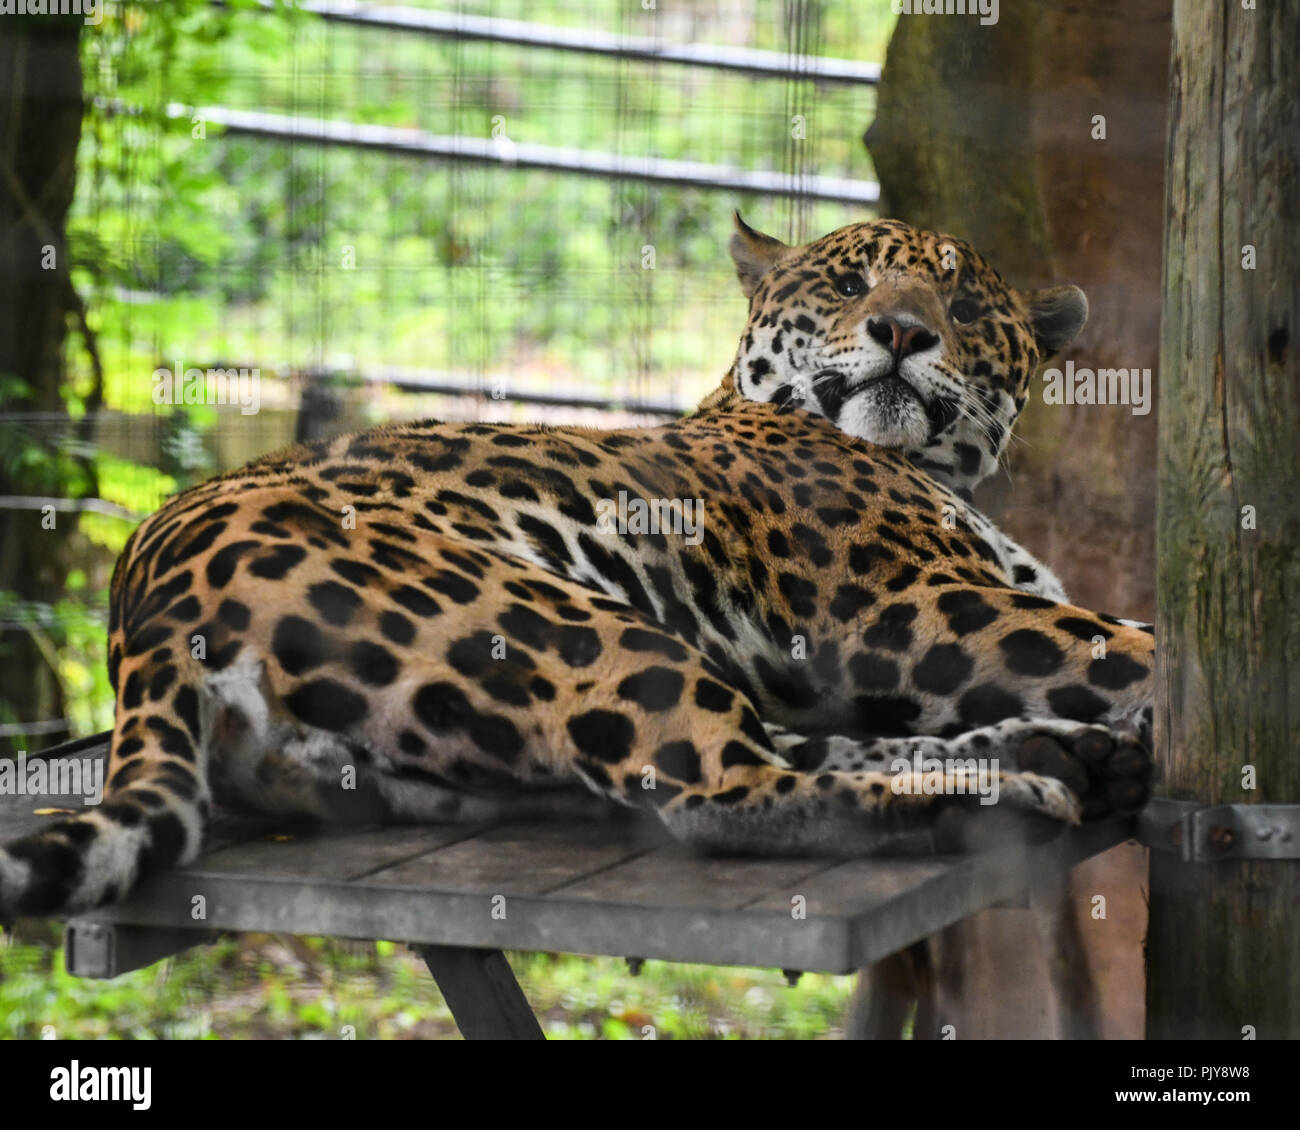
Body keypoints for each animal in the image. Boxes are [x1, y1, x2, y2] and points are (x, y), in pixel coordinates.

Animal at [0, 214, 1155, 920]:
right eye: (847, 280)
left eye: (965, 310)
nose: (903, 331)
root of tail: (142, 608)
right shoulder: (910, 608)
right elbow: (1133, 645)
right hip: (566, 620)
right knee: (721, 790)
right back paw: (997, 795)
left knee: (748, 757)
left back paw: (1045, 754)